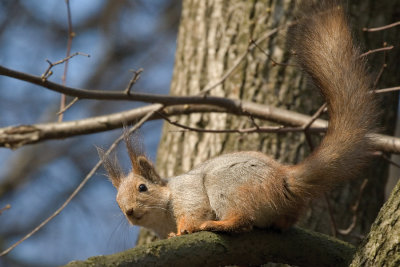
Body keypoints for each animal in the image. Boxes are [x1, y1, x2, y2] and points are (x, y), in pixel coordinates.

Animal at [97, 0, 378, 239]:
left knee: (242, 220)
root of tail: (284, 180)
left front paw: (184, 230)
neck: (164, 210)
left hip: (226, 186)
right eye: (117, 202)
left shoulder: (188, 193)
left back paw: (219, 224)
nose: (129, 212)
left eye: (143, 188)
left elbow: (193, 211)